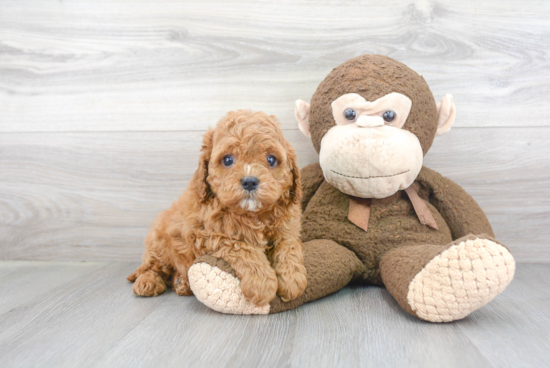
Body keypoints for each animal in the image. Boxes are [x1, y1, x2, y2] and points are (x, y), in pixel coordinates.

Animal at [130, 110, 310, 306]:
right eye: (228, 159)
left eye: (271, 159)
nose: (249, 181)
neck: (252, 214)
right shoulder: (207, 235)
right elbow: (243, 247)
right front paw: (261, 284)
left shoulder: (287, 227)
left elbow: (288, 246)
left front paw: (292, 279)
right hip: (159, 243)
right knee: (152, 267)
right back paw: (148, 282)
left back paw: (182, 283)